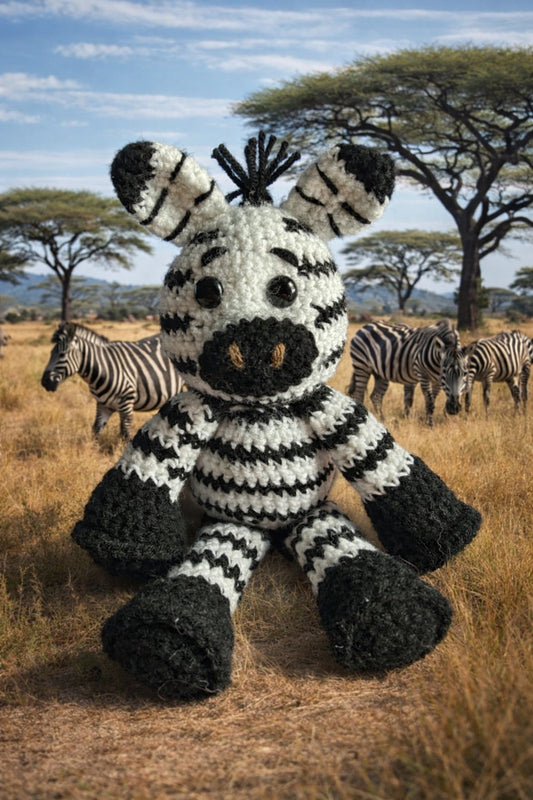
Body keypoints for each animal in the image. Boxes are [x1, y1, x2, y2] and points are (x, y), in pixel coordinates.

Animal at [41, 322, 182, 439]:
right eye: (50, 353)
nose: (44, 382)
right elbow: (96, 430)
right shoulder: (103, 404)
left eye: (62, 354)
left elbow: (125, 433)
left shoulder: (126, 402)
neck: (104, 369)